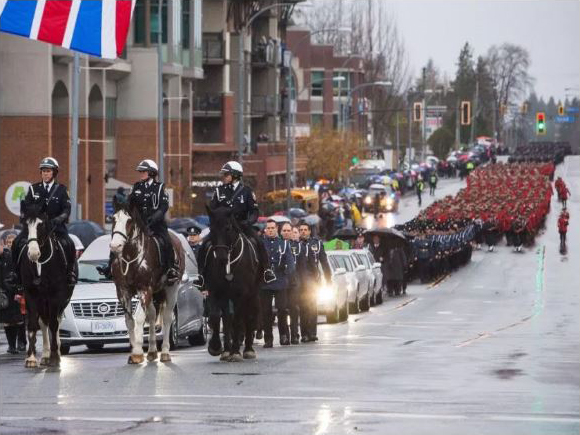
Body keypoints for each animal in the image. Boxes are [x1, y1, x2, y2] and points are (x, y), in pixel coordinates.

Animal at [18, 203, 73, 366]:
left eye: (41, 224)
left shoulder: (56, 295)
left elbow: (55, 324)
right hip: (42, 300)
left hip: (63, 299)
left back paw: (55, 352)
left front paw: (55, 355)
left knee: (56, 321)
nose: (33, 253)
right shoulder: (30, 294)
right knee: (43, 322)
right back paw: (45, 354)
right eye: (25, 224)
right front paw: (31, 357)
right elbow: (32, 324)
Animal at [111, 201, 186, 364]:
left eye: (129, 221)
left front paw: (138, 352)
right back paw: (152, 351)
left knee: (167, 317)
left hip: (171, 288)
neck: (130, 257)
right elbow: (129, 320)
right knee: (152, 315)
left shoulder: (144, 290)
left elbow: (139, 318)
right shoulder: (123, 292)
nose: (115, 246)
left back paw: (165, 352)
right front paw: (134, 350)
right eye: (113, 219)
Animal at [202, 206, 260, 362]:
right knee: (227, 318)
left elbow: (238, 321)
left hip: (252, 295)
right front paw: (216, 347)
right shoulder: (215, 291)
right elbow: (216, 316)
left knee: (248, 316)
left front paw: (236, 352)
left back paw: (248, 349)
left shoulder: (241, 294)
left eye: (228, 228)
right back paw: (227, 350)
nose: (221, 257)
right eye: (211, 228)